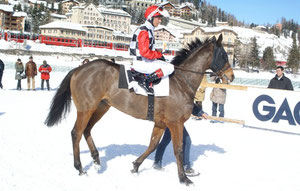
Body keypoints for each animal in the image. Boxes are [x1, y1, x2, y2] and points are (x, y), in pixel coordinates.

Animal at [44, 34, 234, 185]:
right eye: (224, 55)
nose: (231, 76)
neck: (181, 82)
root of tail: (79, 68)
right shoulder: (175, 123)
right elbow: (178, 149)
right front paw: (183, 178)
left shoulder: (161, 123)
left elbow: (153, 144)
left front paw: (136, 165)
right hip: (86, 108)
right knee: (76, 133)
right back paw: (80, 167)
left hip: (101, 107)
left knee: (87, 130)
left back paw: (97, 159)